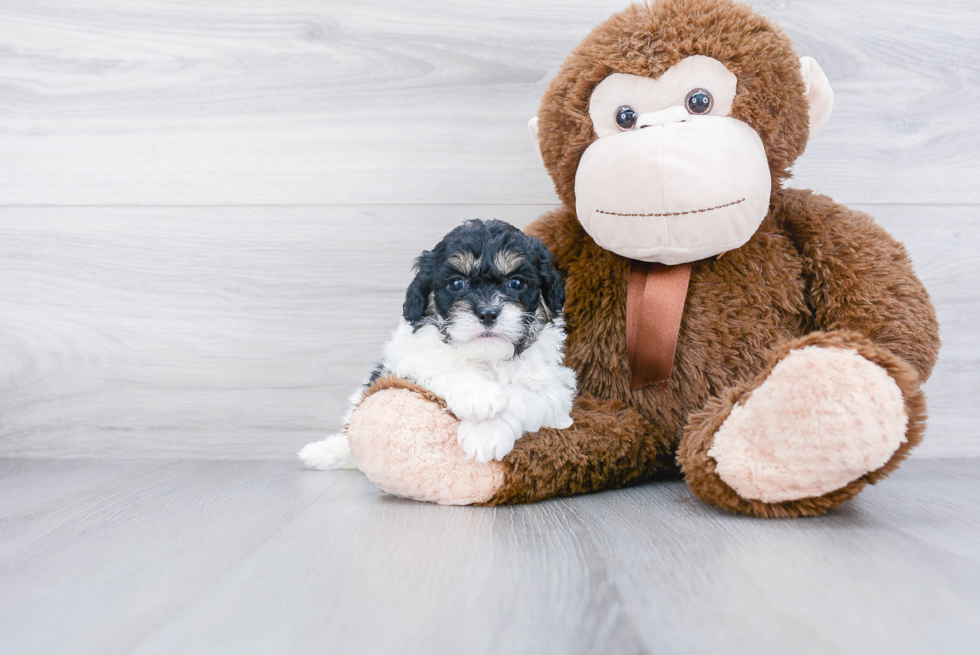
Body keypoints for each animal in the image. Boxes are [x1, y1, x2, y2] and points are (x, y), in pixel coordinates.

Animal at [298, 220, 576, 472]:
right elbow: (443, 366)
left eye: (516, 283)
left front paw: (486, 433)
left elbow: (523, 395)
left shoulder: (555, 390)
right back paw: (322, 452)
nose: (488, 313)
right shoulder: (409, 359)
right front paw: (480, 397)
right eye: (456, 283)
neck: (488, 358)